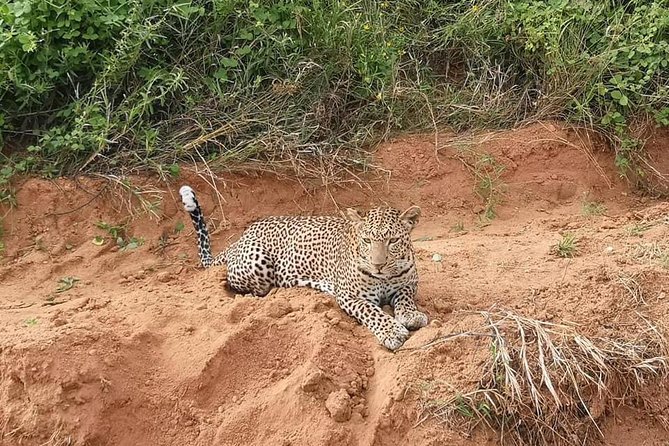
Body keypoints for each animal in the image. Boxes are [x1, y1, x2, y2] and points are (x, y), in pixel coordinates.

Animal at [177, 183, 428, 350]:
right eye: (367, 240)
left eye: (393, 241)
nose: (378, 265)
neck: (385, 277)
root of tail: (240, 238)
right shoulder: (349, 295)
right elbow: (372, 311)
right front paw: (392, 331)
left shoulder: (409, 283)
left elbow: (405, 297)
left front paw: (411, 315)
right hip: (257, 263)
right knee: (241, 284)